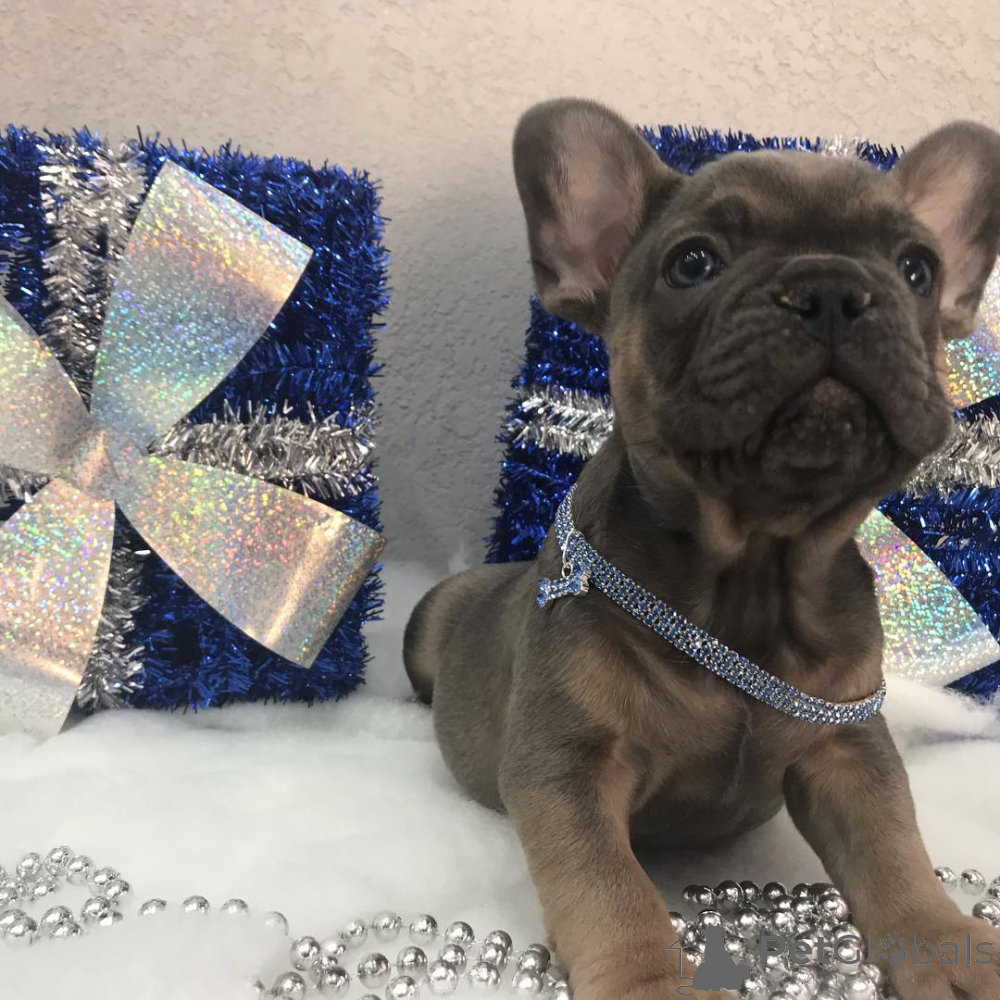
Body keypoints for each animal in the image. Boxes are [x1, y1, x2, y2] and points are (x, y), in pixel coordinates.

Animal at [404, 99, 1000, 1000]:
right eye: (693, 263)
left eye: (918, 269)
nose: (833, 289)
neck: (754, 569)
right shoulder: (569, 766)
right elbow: (611, 891)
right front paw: (651, 985)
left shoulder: (848, 748)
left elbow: (897, 853)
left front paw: (945, 945)